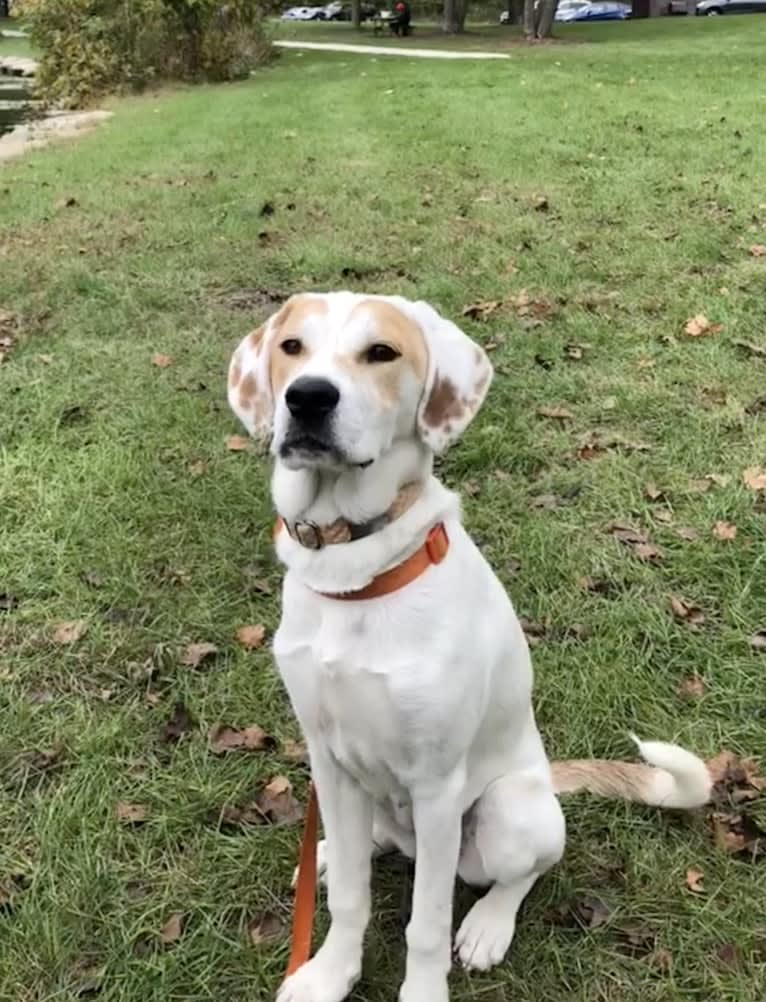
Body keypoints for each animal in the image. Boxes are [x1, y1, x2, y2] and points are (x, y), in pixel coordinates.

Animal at [227, 292, 713, 1002]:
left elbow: (425, 925)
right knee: (367, 851)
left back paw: (488, 925)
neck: (353, 576)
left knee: (522, 872)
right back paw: (323, 860)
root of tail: (548, 775)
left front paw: (423, 989)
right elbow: (351, 897)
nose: (307, 398)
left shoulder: (435, 787)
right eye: (292, 347)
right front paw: (330, 973)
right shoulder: (329, 760)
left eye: (381, 352)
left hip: (507, 812)